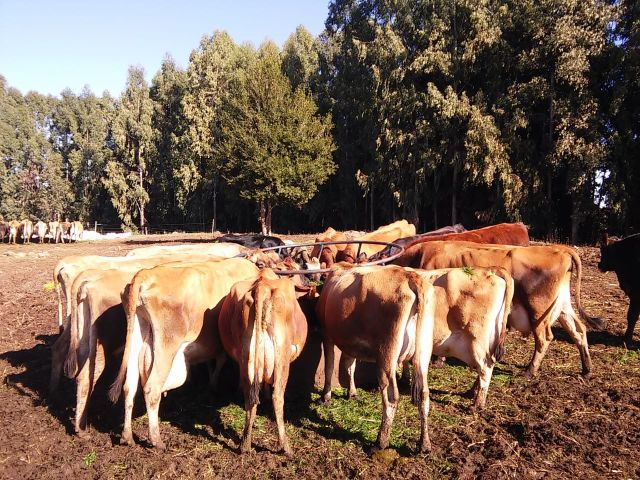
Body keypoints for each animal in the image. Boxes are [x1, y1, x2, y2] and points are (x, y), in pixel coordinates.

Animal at [107, 256, 260, 448]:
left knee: (129, 387)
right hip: (167, 346)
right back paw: (156, 440)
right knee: (151, 389)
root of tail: (144, 275)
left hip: (137, 334)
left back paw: (127, 436)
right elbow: (225, 361)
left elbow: (218, 361)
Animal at [219, 270, 312, 454]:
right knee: (278, 397)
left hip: (246, 357)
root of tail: (262, 285)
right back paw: (286, 447)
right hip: (282, 355)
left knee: (249, 399)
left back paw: (245, 445)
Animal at [316, 262, 438, 454]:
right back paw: (424, 444)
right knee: (424, 394)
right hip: (423, 352)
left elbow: (329, 366)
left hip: (387, 355)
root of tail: (411, 277)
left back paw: (380, 442)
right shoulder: (351, 343)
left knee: (391, 397)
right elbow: (350, 366)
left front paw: (325, 396)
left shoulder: (326, 334)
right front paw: (352, 393)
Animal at [396, 242, 604, 376]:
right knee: (579, 330)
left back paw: (530, 371)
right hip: (562, 308)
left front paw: (438, 360)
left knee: (545, 339)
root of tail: (559, 249)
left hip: (538, 312)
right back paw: (586, 369)